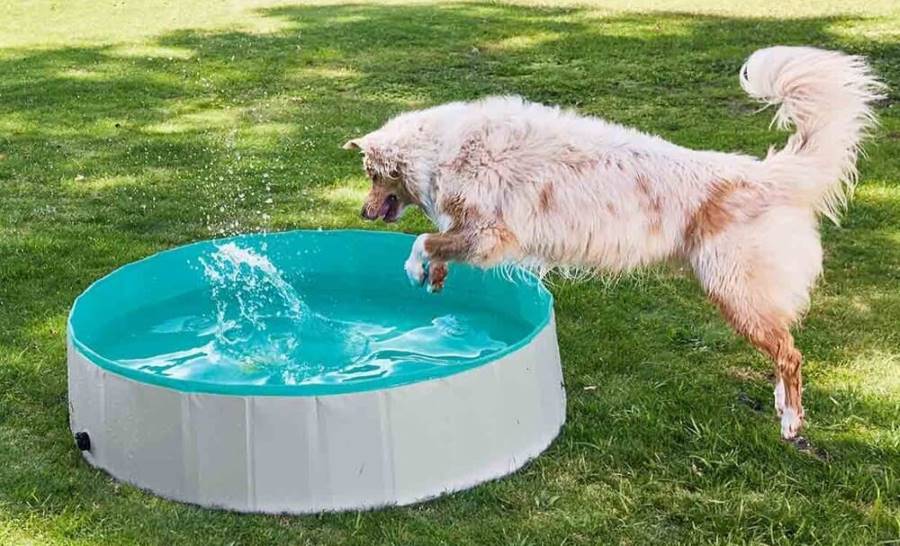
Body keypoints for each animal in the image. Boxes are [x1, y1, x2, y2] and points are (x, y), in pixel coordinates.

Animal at [344, 45, 884, 438]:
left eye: (370, 174)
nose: (362, 212)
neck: (439, 150)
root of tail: (761, 174)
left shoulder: (489, 234)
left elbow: (424, 238)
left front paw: (416, 268)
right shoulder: (475, 235)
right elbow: (438, 241)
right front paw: (434, 277)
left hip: (735, 291)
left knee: (791, 355)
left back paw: (791, 422)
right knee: (784, 351)